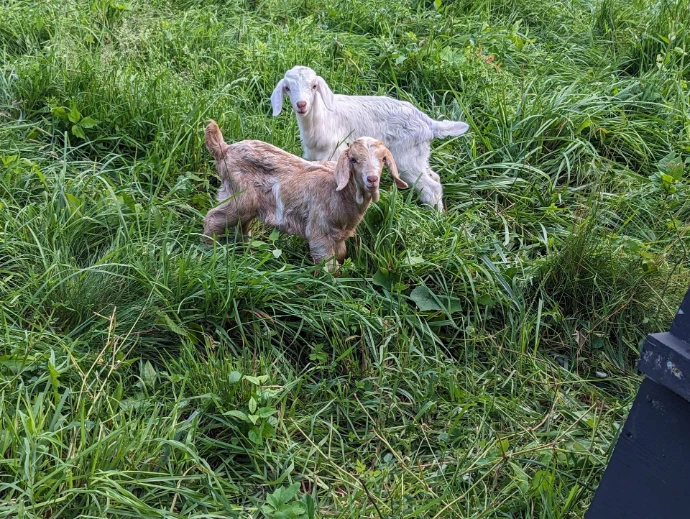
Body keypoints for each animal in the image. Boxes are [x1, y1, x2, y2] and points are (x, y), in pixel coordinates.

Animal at [203, 120, 408, 270]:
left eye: (383, 159)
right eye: (353, 160)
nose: (372, 179)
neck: (339, 193)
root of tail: (224, 150)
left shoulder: (338, 236)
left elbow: (341, 255)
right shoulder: (319, 233)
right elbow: (328, 266)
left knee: (242, 225)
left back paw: (248, 251)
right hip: (238, 197)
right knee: (214, 218)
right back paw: (208, 249)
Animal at [270, 65, 469, 211]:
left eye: (313, 86)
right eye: (287, 88)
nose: (301, 104)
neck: (322, 118)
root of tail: (429, 123)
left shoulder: (335, 152)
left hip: (406, 159)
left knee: (431, 187)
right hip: (419, 155)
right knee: (434, 177)